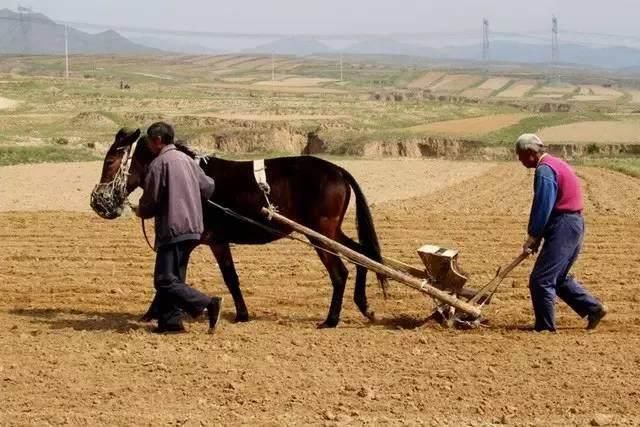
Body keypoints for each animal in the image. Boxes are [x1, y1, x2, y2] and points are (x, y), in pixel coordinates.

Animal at [90, 127, 388, 328]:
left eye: (110, 162)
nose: (97, 202)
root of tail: (338, 171)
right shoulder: (199, 243)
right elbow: (181, 276)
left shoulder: (210, 241)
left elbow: (224, 277)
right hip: (331, 232)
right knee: (363, 255)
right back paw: (363, 305)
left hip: (321, 235)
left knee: (340, 273)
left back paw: (331, 320)